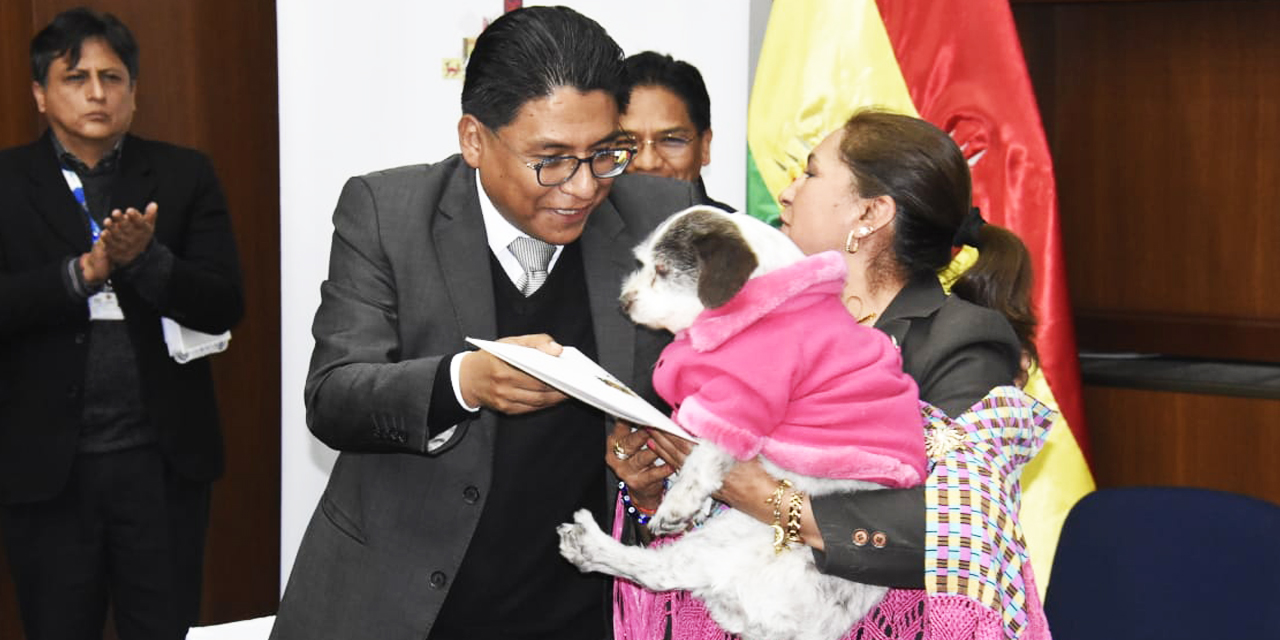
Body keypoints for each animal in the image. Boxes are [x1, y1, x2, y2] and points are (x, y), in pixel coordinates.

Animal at [555, 206, 926, 640]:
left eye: (662, 269)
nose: (624, 303)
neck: (759, 308)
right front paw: (691, 501)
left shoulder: (743, 399)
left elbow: (703, 460)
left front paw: (679, 505)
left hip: (729, 540)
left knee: (659, 572)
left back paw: (588, 543)